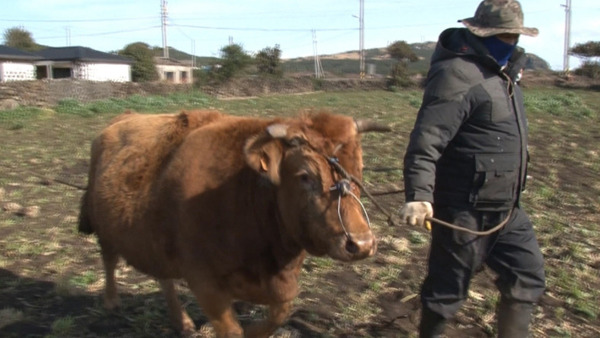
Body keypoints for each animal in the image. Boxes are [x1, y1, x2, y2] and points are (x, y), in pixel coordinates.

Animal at [79, 109, 386, 336]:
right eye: (305, 176)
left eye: (359, 170)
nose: (361, 244)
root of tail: (121, 119)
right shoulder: (205, 283)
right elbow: (232, 331)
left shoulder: (280, 284)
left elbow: (279, 314)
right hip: (104, 226)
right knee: (109, 259)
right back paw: (111, 302)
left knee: (163, 276)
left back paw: (182, 322)